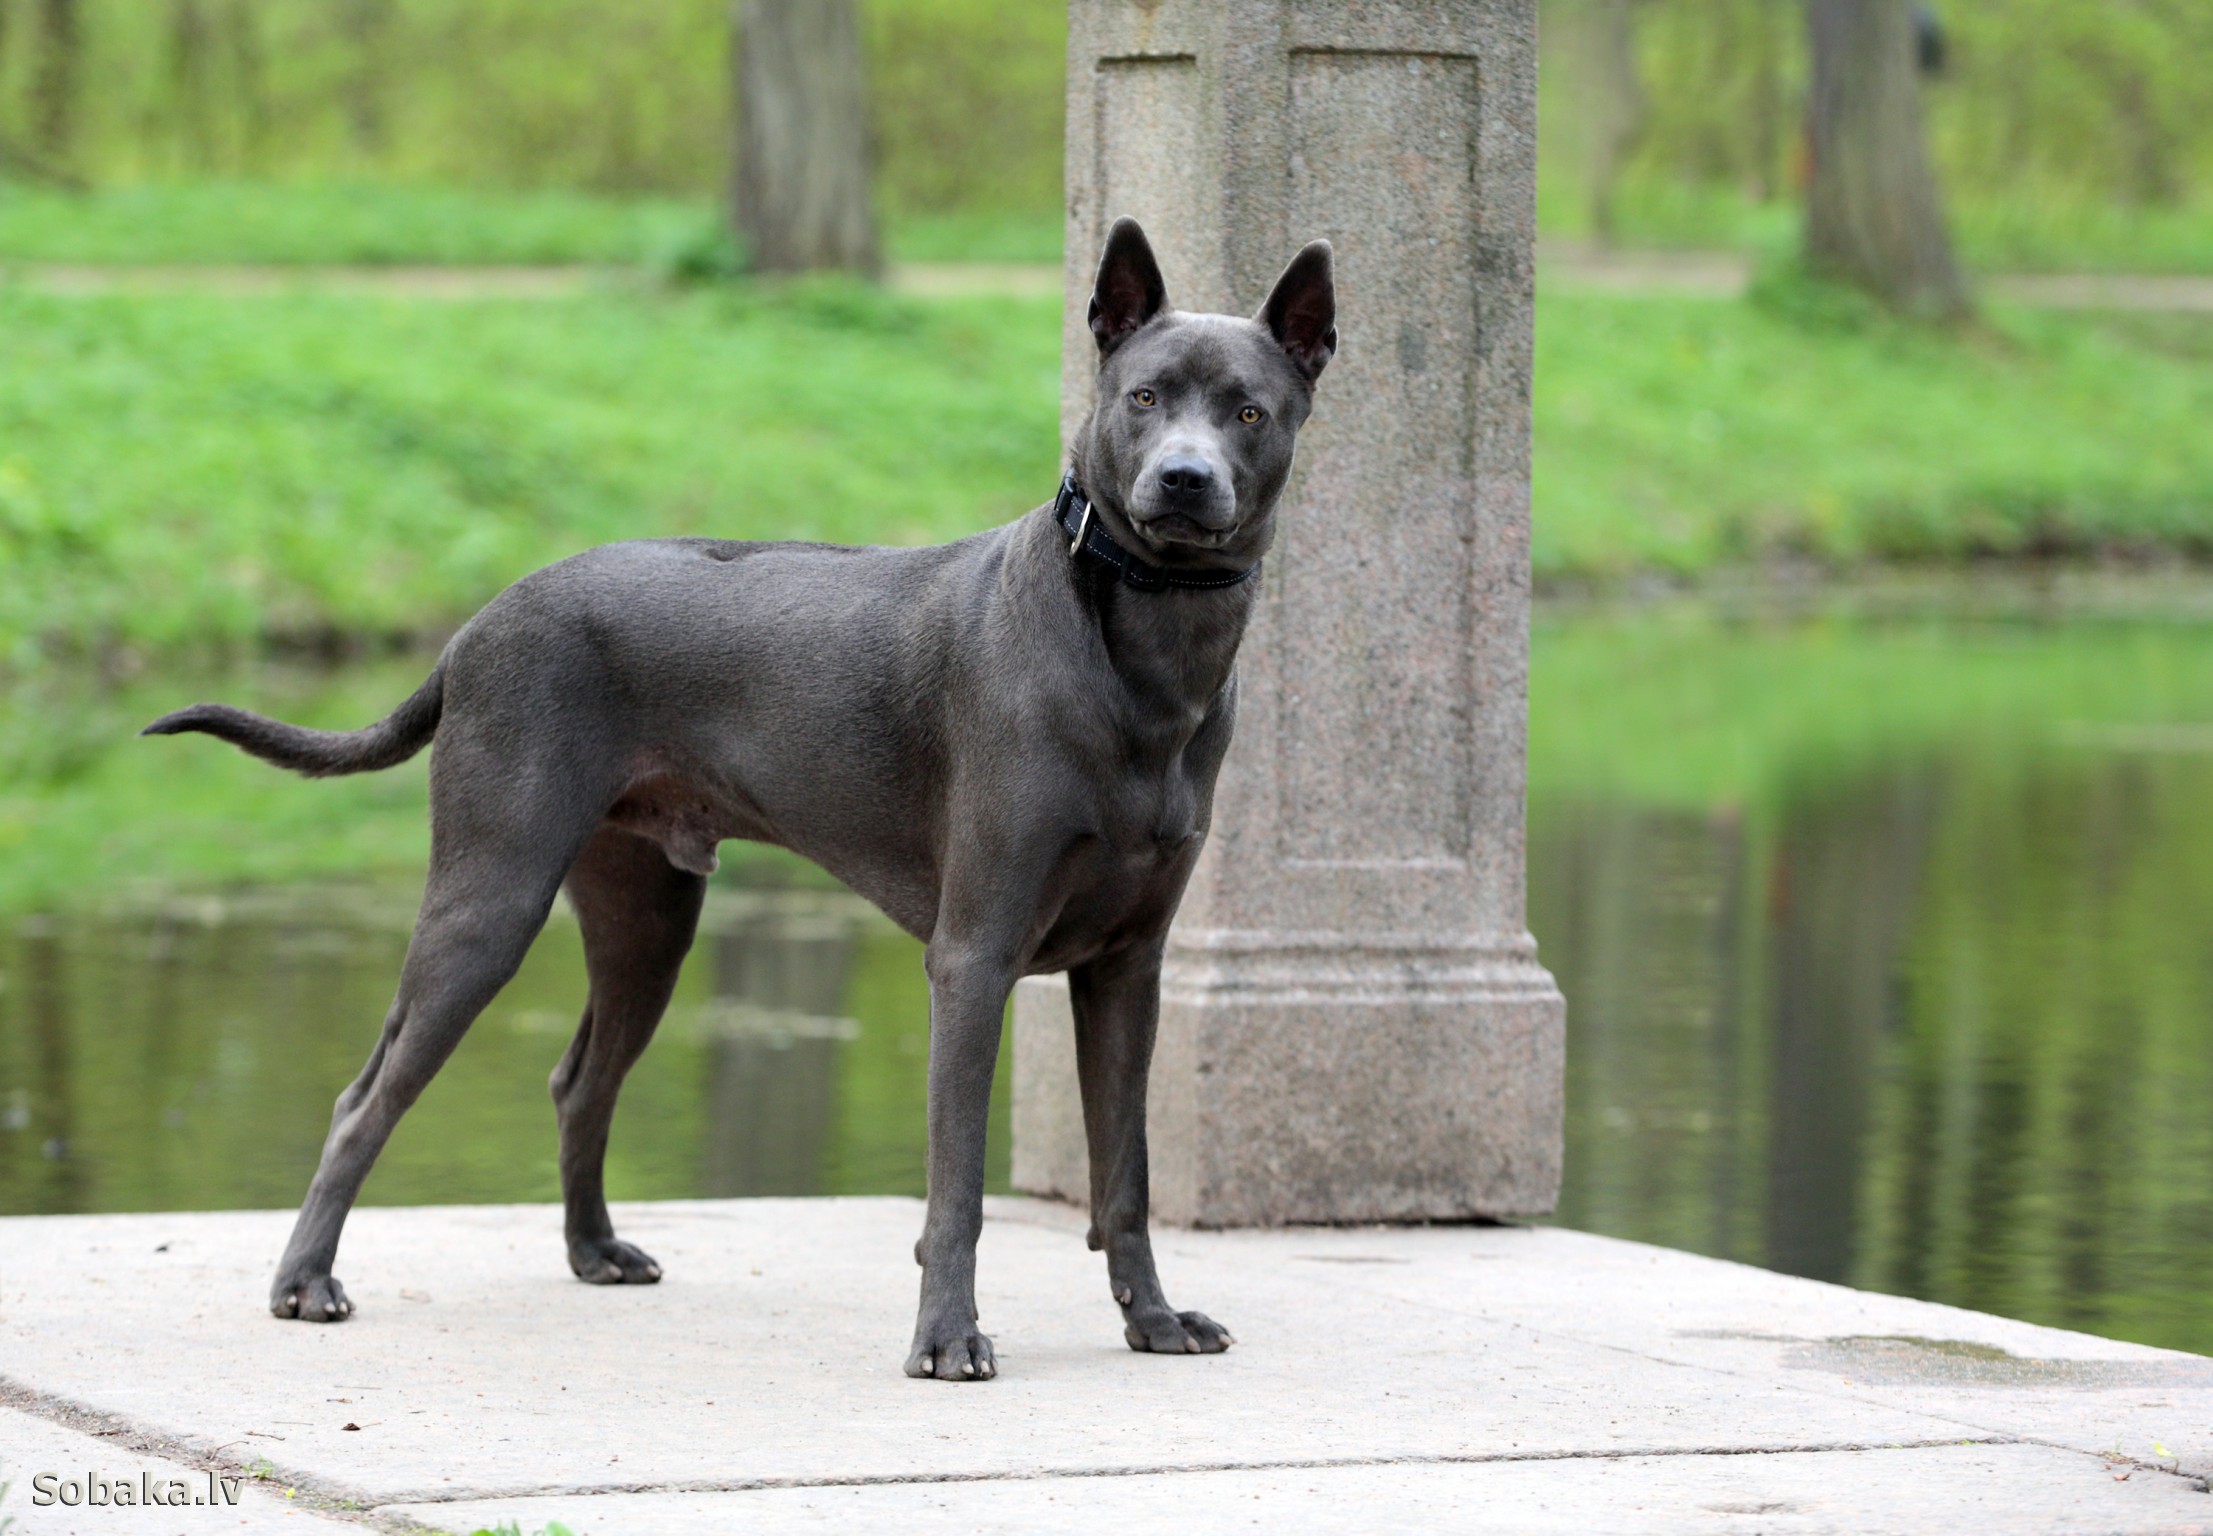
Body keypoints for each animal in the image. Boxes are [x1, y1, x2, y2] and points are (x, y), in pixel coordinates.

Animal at [151, 222, 1345, 1389]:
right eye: (1142, 397)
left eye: (1246, 410)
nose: (1182, 479)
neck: (1141, 653)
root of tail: (475, 622)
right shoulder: (973, 958)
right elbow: (956, 1184)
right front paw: (945, 1338)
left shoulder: (1127, 969)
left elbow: (1125, 1177)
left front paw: (1153, 1319)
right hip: (488, 901)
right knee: (367, 1099)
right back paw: (305, 1283)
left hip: (645, 920)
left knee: (578, 1081)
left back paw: (592, 1252)